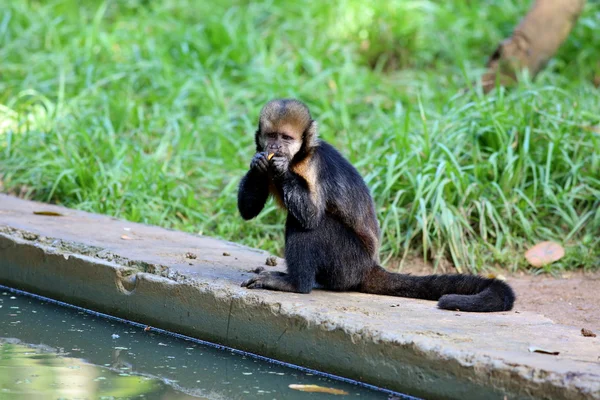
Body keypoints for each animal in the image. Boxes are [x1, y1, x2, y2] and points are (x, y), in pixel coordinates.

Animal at [237, 98, 512, 310]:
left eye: (286, 138)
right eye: (271, 136)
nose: (275, 147)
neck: (298, 159)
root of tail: (369, 266)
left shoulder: (313, 166)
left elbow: (311, 216)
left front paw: (281, 169)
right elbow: (248, 210)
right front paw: (258, 163)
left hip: (348, 264)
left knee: (309, 224)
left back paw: (296, 284)